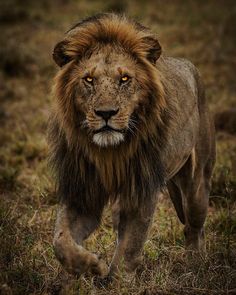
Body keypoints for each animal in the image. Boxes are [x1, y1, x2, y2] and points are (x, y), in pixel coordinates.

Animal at [48, 13, 216, 280]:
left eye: (125, 79)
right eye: (89, 79)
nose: (106, 113)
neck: (109, 153)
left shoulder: (140, 192)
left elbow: (130, 246)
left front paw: (116, 281)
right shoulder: (81, 190)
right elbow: (61, 240)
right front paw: (92, 265)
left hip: (198, 183)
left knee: (193, 227)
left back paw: (195, 263)